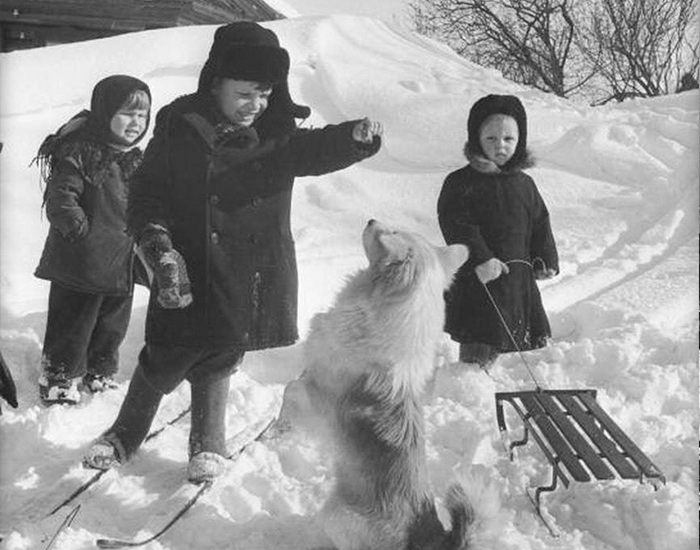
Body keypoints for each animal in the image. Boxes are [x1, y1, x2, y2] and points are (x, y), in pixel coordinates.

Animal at [276, 220, 478, 550]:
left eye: (391, 234)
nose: (370, 220)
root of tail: (431, 534)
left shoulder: (320, 394)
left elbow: (290, 389)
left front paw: (278, 428)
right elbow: (293, 384)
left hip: (336, 515)